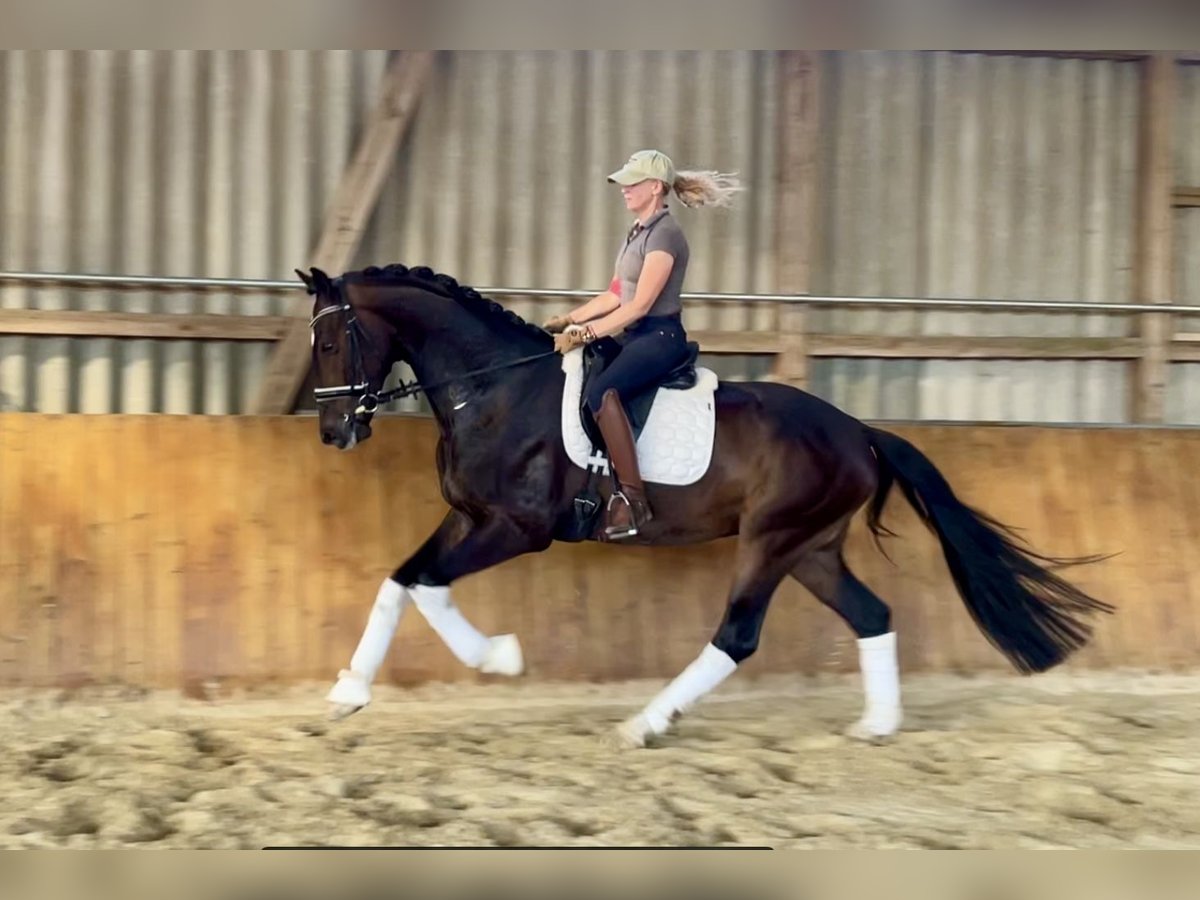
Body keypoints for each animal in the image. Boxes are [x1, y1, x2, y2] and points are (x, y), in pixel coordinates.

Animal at [300, 264, 1113, 748]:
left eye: (333, 341)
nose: (335, 431)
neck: (493, 389)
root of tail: (859, 433)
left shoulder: (515, 528)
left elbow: (429, 587)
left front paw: (500, 656)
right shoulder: (470, 518)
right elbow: (402, 581)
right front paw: (347, 693)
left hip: (771, 541)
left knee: (738, 635)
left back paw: (644, 724)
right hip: (811, 549)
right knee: (872, 614)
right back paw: (877, 726)